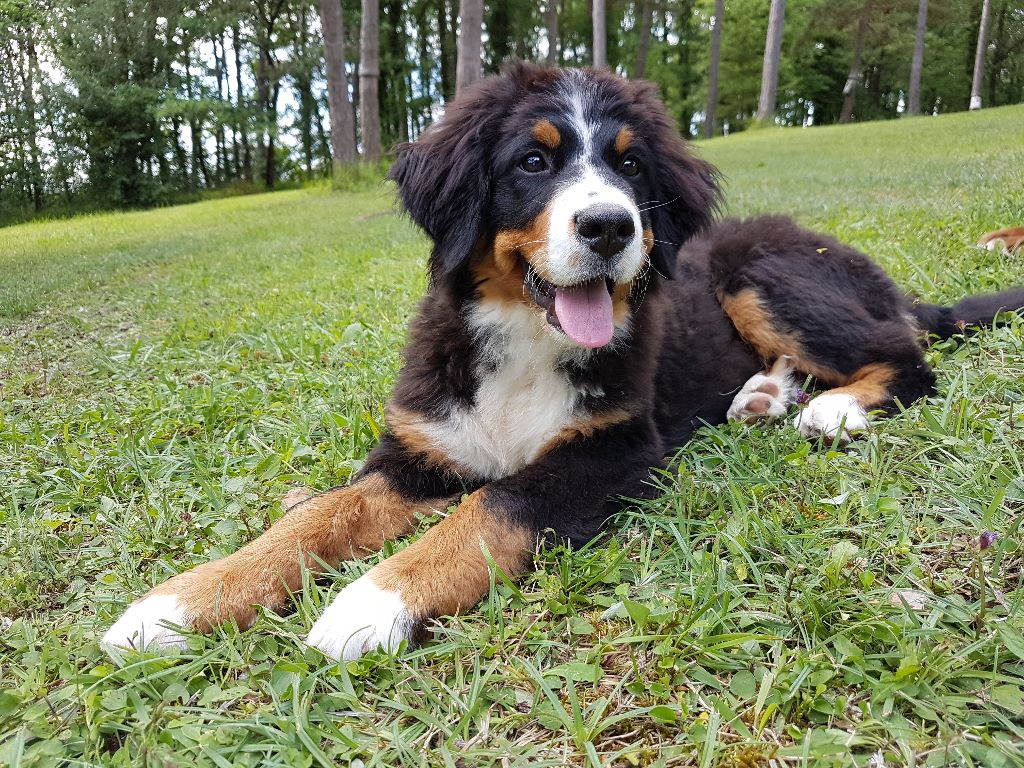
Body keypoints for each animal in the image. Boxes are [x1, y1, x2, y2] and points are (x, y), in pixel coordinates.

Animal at [101, 64, 1024, 663]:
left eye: (630, 162)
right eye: (534, 161)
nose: (611, 227)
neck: (525, 341)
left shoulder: (614, 450)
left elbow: (492, 508)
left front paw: (369, 603)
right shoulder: (419, 448)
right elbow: (309, 520)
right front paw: (175, 605)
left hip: (763, 275)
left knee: (907, 357)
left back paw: (834, 408)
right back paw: (763, 395)